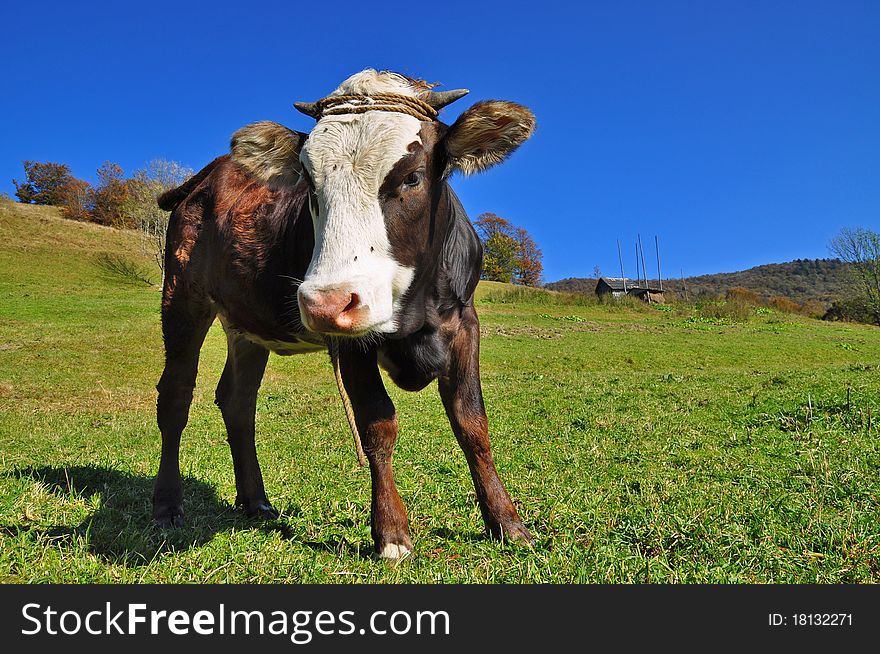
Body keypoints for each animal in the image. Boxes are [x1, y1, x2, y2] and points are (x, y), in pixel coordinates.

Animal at [152, 69, 536, 560]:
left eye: (412, 177)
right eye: (310, 186)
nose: (324, 302)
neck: (418, 310)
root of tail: (209, 173)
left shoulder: (464, 322)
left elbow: (471, 423)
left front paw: (506, 522)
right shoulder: (352, 340)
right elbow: (378, 423)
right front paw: (391, 533)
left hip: (248, 326)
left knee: (238, 401)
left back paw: (256, 500)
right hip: (183, 297)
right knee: (175, 396)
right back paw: (167, 505)